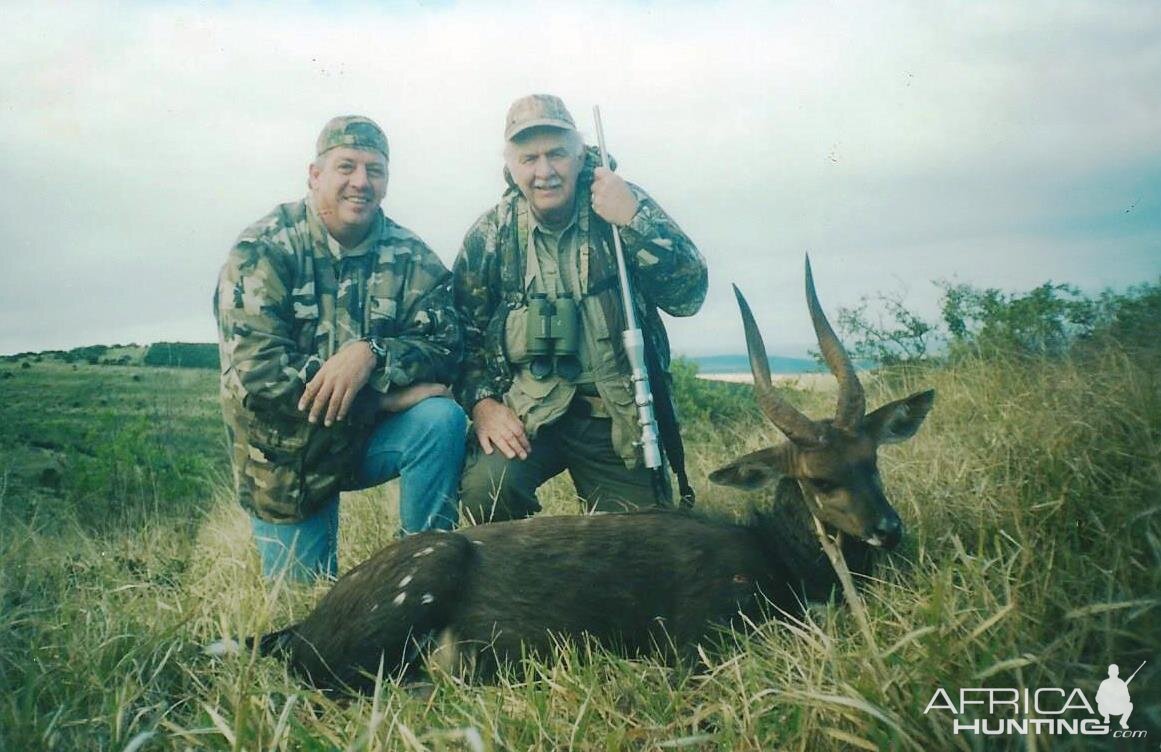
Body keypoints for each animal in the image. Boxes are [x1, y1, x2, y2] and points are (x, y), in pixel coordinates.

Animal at [211, 258, 933, 691]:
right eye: (817, 480)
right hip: (417, 584)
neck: (777, 562)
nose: (888, 530)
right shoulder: (697, 637)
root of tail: (294, 630)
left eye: (871, 459)